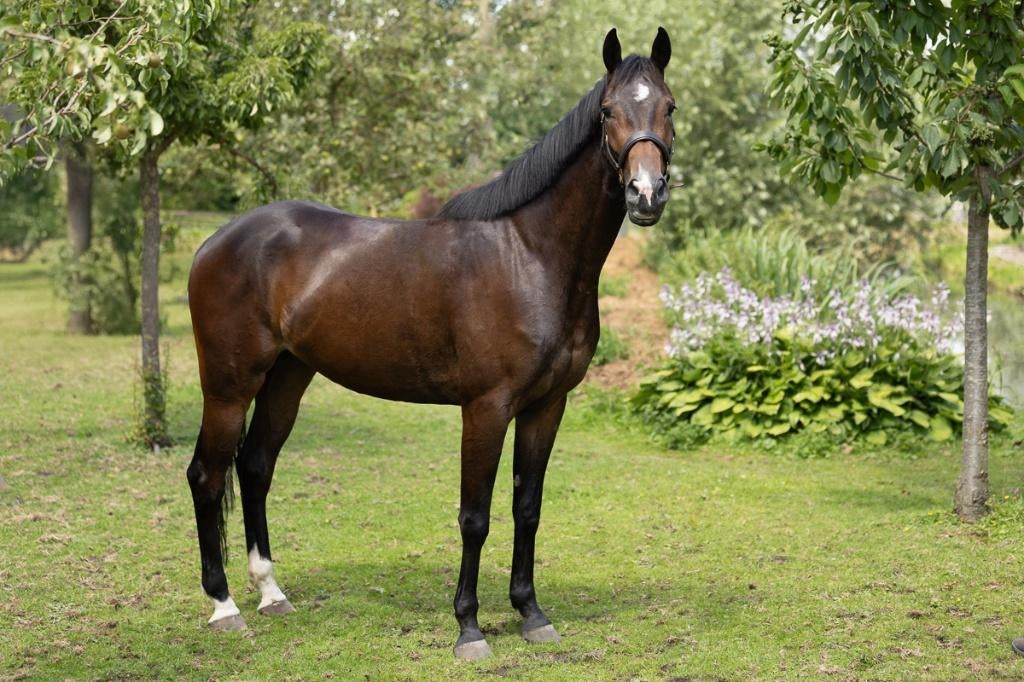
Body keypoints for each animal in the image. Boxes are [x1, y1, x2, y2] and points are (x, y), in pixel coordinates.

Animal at [186, 27, 675, 660]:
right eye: (608, 112)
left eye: (668, 108)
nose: (645, 194)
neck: (530, 255)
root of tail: (215, 242)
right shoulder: (486, 408)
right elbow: (475, 516)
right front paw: (469, 627)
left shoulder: (547, 405)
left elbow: (527, 508)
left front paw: (531, 613)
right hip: (228, 385)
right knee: (206, 474)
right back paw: (225, 606)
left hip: (288, 377)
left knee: (255, 467)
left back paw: (271, 593)